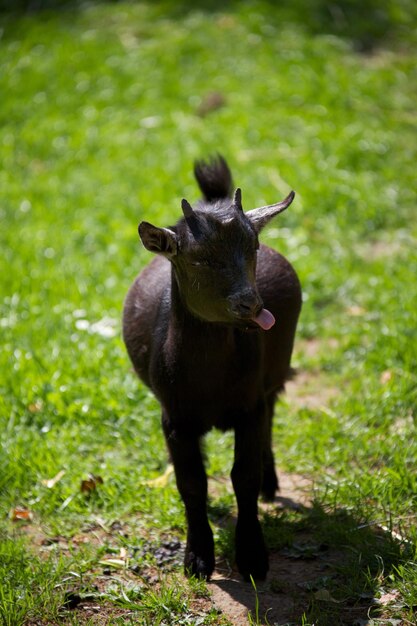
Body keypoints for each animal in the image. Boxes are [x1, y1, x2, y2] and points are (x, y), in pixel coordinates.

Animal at [122, 157, 300, 580]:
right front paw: (198, 558)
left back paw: (272, 482)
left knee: (272, 418)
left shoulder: (250, 407)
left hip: (273, 378)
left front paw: (252, 557)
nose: (250, 304)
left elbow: (244, 477)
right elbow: (192, 483)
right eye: (198, 258)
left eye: (252, 247)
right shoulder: (174, 419)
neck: (210, 382)